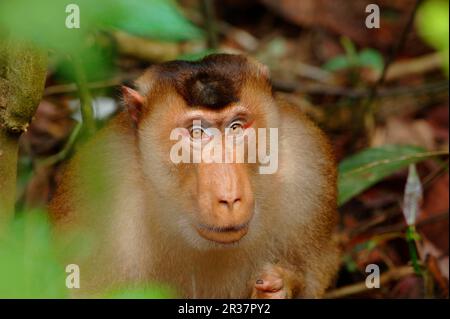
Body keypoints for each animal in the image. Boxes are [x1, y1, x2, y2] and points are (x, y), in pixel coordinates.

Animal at [50, 53, 338, 298]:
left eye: (236, 127)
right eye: (197, 132)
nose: (229, 198)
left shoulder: (309, 163)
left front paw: (279, 286)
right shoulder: (96, 198)